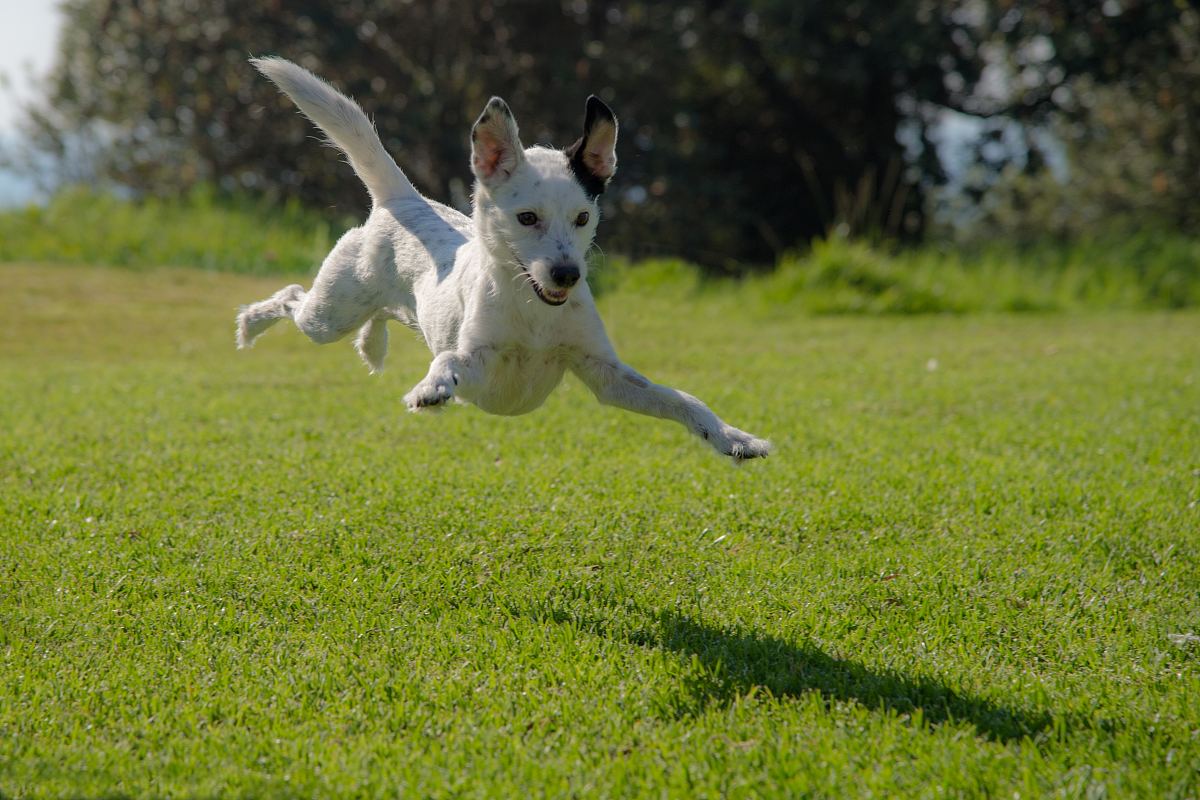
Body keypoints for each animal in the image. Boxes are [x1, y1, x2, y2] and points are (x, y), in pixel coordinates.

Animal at [238, 57, 772, 462]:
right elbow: (449, 360)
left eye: (583, 217)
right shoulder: (480, 363)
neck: (534, 313)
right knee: (292, 298)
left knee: (379, 315)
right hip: (329, 313)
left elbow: (683, 399)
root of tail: (403, 200)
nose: (567, 274)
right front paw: (431, 387)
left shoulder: (606, 375)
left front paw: (733, 438)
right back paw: (251, 324)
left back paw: (372, 344)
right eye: (527, 217)